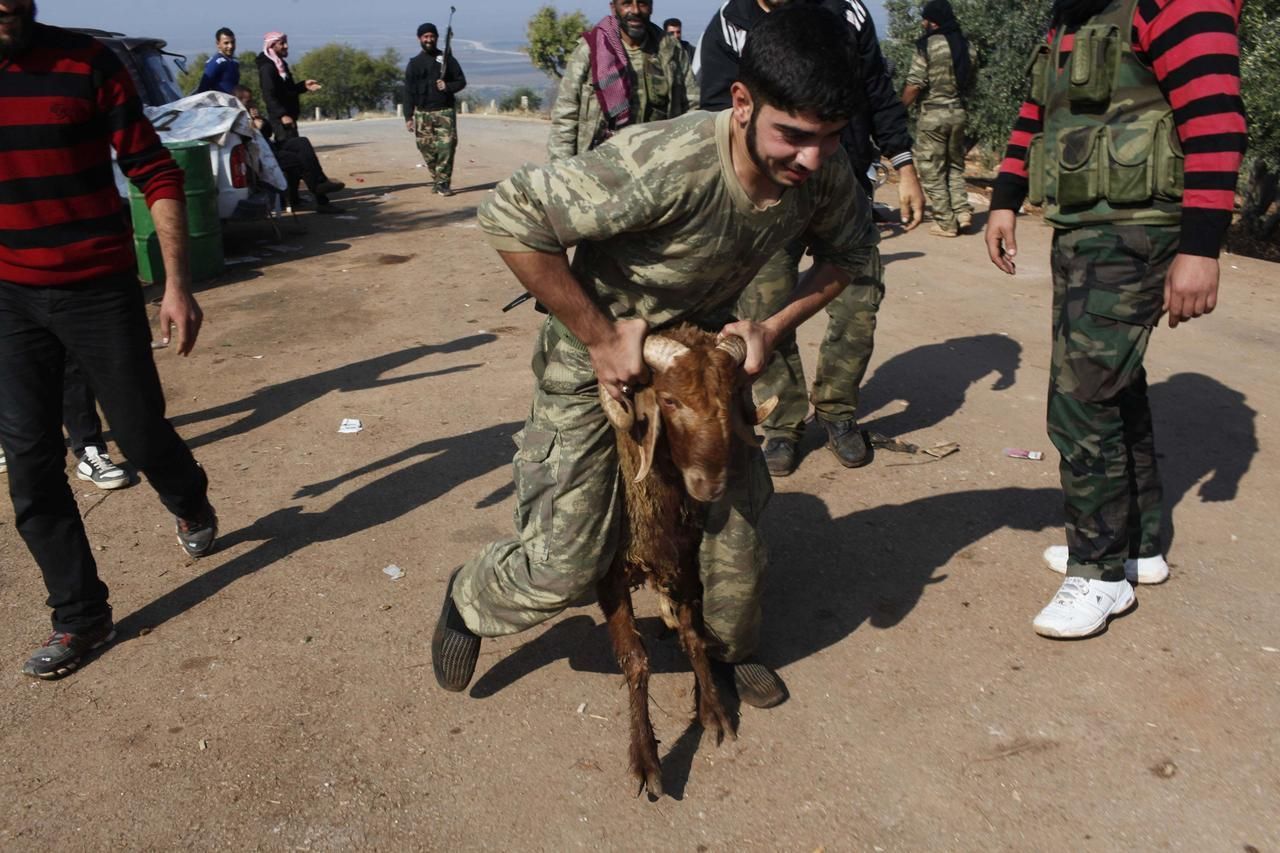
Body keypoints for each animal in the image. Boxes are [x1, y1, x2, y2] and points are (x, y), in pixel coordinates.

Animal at [593, 322, 773, 794]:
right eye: (670, 400)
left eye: (730, 397)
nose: (711, 486)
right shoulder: (610, 579)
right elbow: (635, 661)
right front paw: (645, 759)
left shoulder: (686, 560)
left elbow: (694, 637)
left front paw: (713, 711)